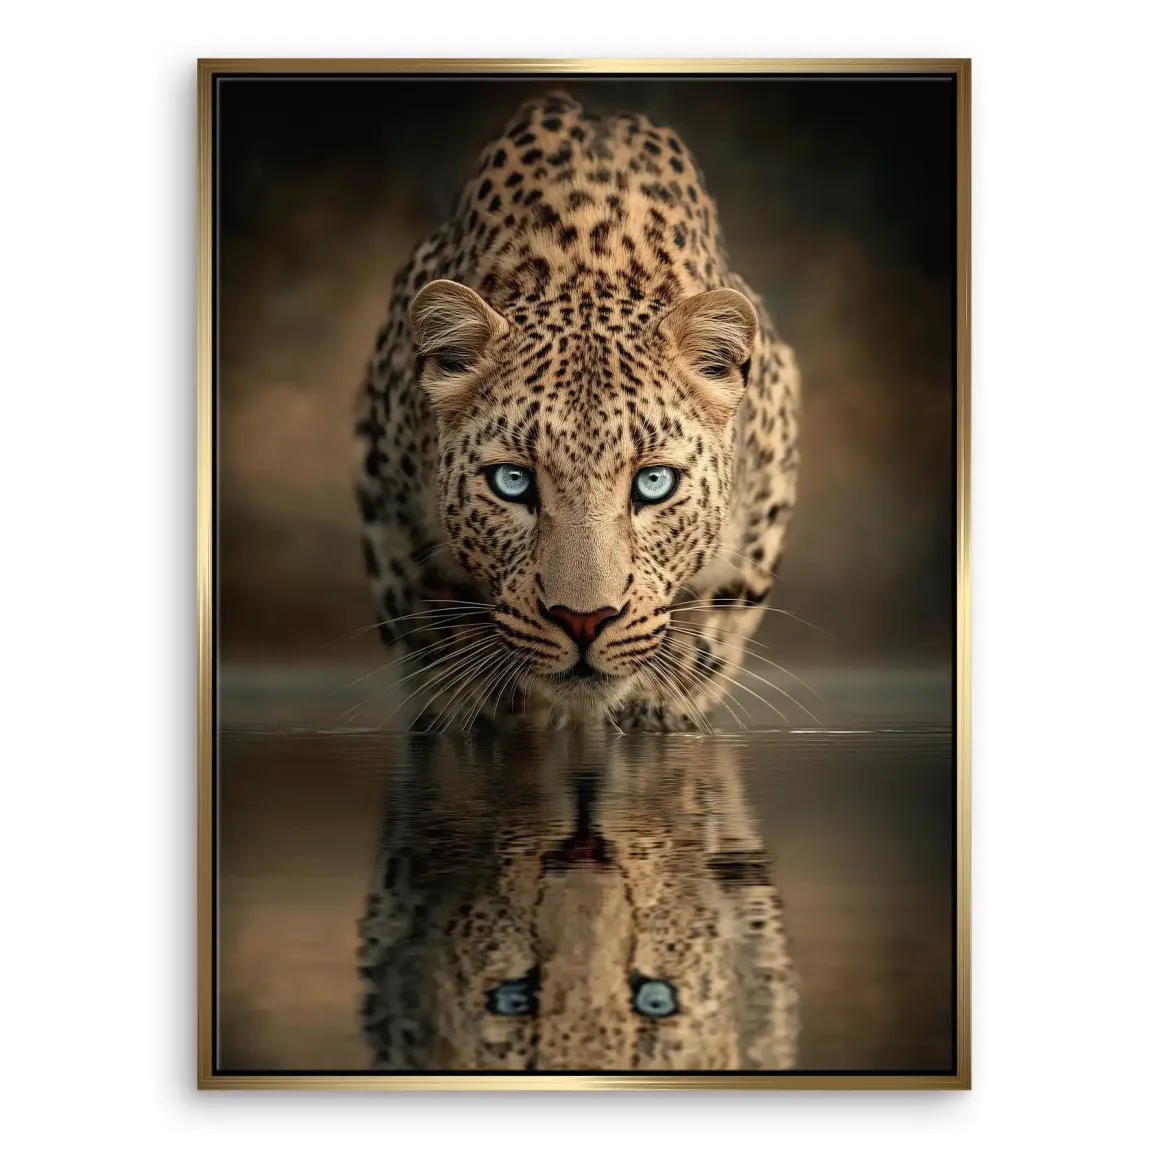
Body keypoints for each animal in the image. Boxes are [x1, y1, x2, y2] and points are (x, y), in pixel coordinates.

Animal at [354, 90, 801, 732]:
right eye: (512, 482)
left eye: (655, 482)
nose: (584, 620)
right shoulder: (390, 515)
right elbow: (435, 635)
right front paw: (483, 709)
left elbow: (710, 627)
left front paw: (657, 705)